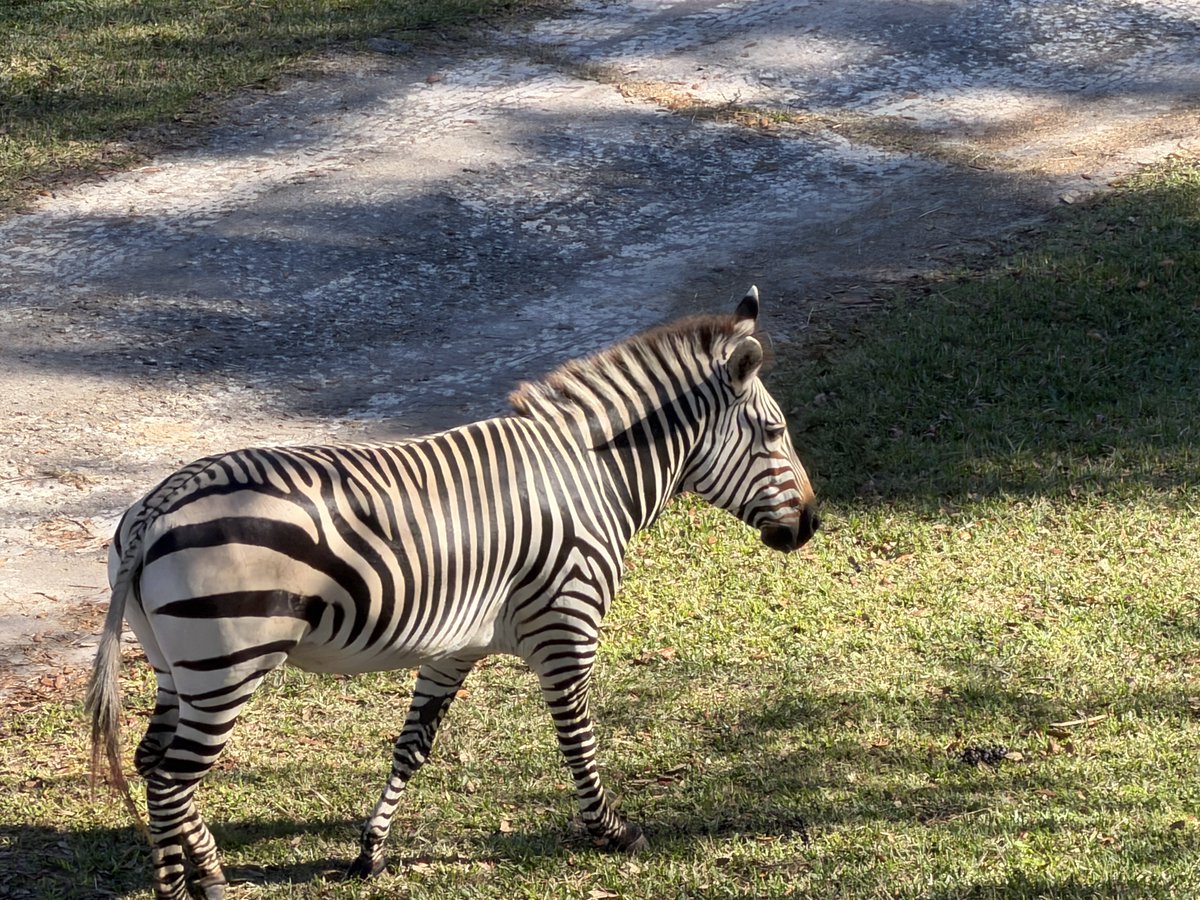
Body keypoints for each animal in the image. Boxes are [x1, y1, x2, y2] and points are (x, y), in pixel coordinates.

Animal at [86, 287, 819, 899]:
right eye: (776, 433)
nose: (812, 524)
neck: (592, 477)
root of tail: (158, 505)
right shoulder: (567, 629)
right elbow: (577, 738)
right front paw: (611, 832)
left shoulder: (454, 646)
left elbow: (412, 745)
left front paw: (371, 853)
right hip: (226, 664)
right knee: (173, 779)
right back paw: (189, 888)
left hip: (177, 665)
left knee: (152, 764)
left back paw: (202, 875)